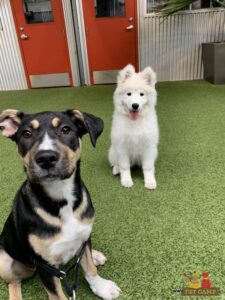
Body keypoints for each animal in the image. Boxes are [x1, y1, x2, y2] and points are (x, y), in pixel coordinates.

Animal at [0, 109, 120, 300]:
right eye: (26, 134)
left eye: (65, 130)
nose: (46, 158)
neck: (61, 198)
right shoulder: (45, 266)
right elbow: (57, 295)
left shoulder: (83, 234)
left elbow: (89, 268)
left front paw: (102, 287)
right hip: (4, 262)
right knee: (13, 283)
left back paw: (95, 255)